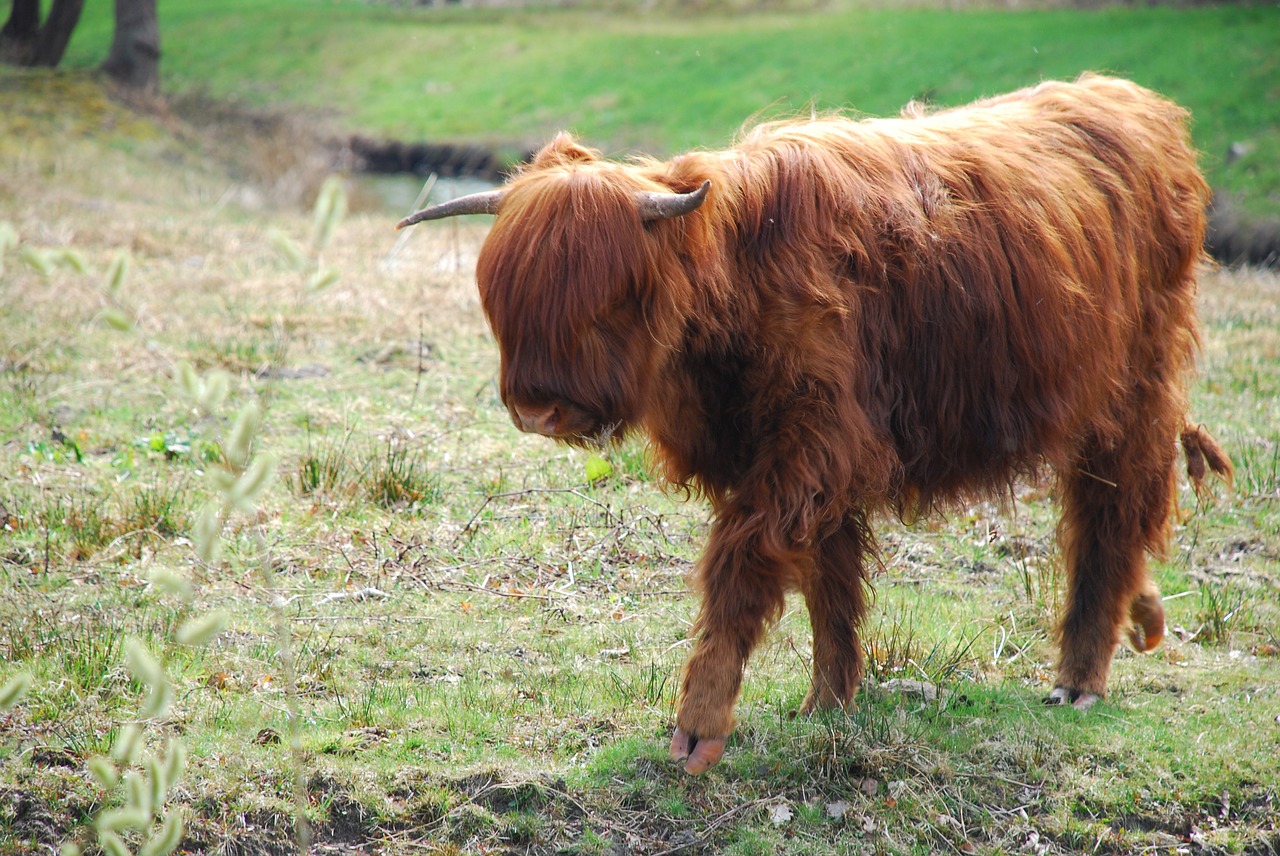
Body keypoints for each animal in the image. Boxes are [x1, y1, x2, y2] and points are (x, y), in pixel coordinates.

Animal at [396, 75, 1228, 772]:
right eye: (504, 303)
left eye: (604, 301)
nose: (536, 408)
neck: (738, 278)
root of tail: (1132, 102)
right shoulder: (802, 459)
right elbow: (831, 580)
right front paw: (828, 702)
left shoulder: (809, 447)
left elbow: (743, 567)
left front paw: (700, 723)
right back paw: (1142, 617)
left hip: (1130, 397)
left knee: (1110, 518)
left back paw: (1080, 677)